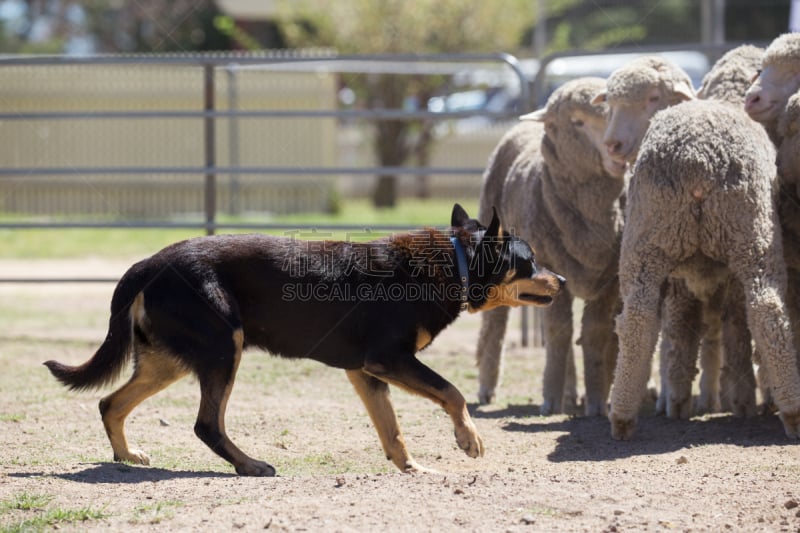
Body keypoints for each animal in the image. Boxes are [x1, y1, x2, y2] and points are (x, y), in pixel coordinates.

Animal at [45, 204, 564, 474]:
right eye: (531, 260)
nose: (561, 280)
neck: (456, 263)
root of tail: (149, 262)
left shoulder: (366, 372)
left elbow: (392, 430)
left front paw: (411, 469)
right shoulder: (388, 359)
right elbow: (453, 393)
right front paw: (468, 439)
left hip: (169, 359)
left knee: (111, 404)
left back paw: (127, 456)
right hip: (222, 349)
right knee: (207, 424)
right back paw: (250, 465)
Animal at [476, 77, 624, 416]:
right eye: (577, 122)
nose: (616, 152)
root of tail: (523, 126)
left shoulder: (611, 278)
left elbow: (593, 332)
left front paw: (596, 401)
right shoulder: (552, 263)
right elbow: (558, 331)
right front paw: (550, 399)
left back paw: (570, 393)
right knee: (496, 323)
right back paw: (488, 387)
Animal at [608, 100, 796, 440]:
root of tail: (697, 159)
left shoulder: (686, 280)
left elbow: (690, 329)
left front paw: (682, 400)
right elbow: (729, 330)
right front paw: (736, 401)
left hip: (651, 237)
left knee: (638, 318)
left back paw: (622, 417)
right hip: (749, 237)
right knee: (766, 311)